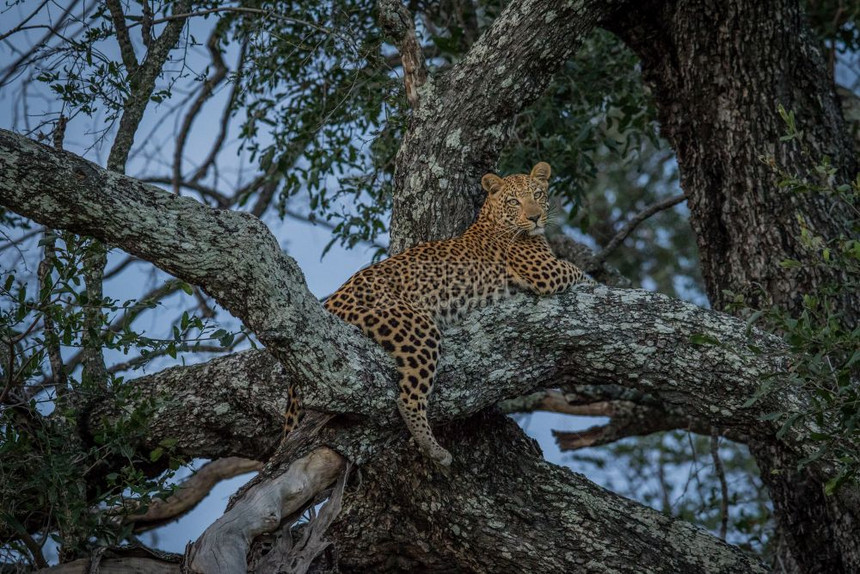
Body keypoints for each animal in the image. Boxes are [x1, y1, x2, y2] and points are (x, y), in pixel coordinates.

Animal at [286, 162, 596, 468]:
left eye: (538, 194)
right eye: (514, 201)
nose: (535, 217)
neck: (493, 219)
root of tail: (331, 302)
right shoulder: (545, 271)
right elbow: (577, 270)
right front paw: (594, 281)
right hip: (417, 328)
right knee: (407, 398)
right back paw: (434, 449)